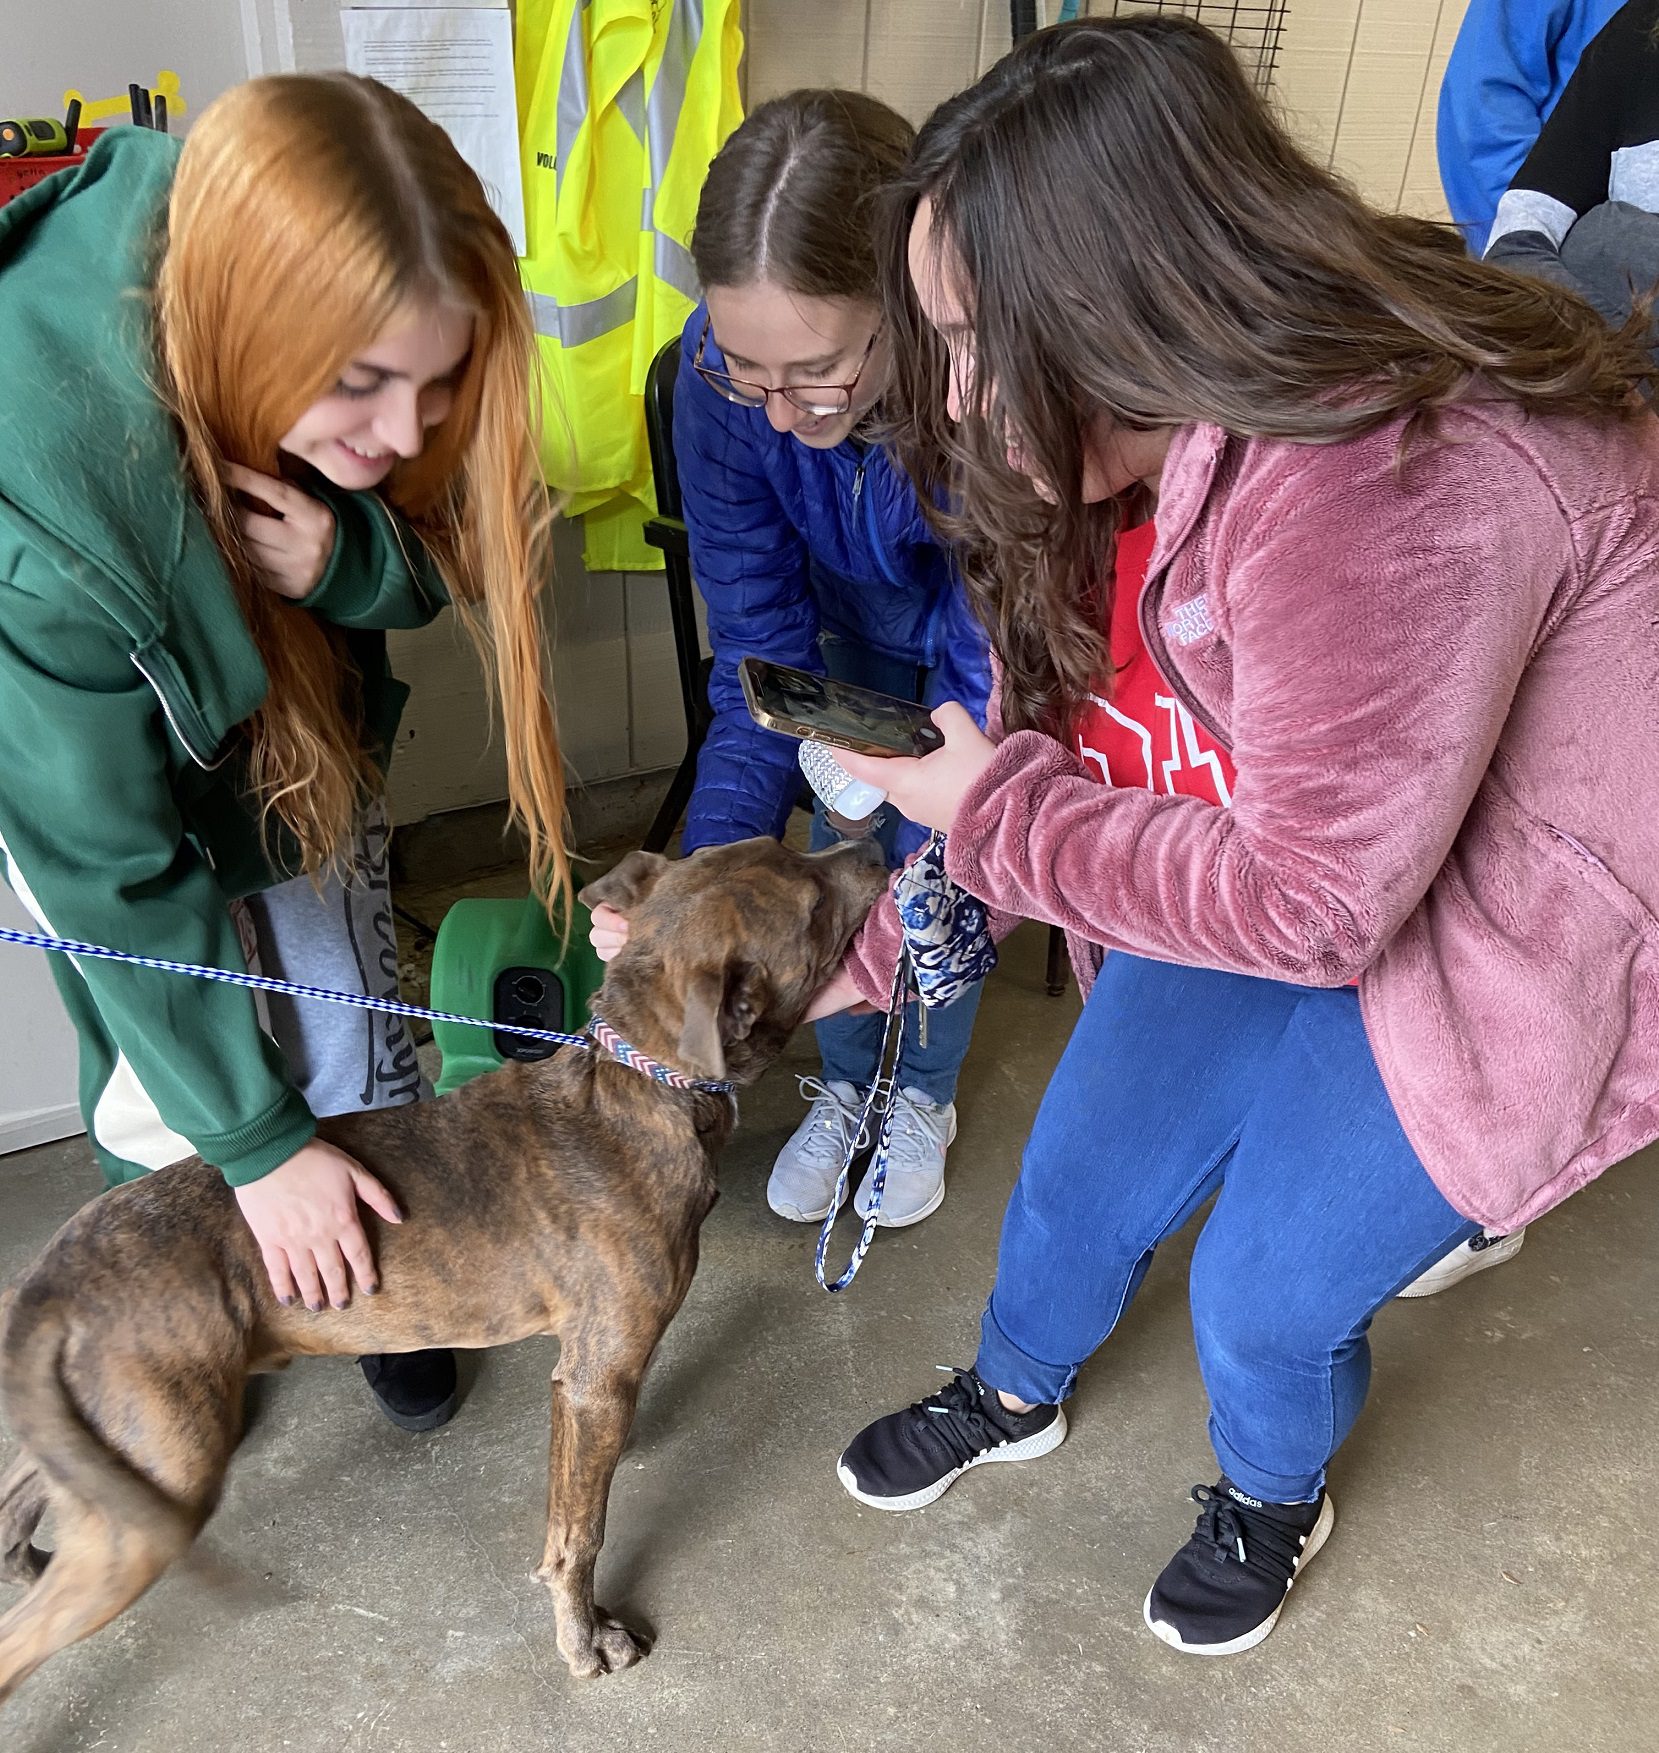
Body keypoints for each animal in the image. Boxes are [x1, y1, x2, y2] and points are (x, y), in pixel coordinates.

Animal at [0, 830, 890, 1696]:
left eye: (787, 844)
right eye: (812, 907)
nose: (880, 844)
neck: (636, 1083)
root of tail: (56, 1275)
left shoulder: (580, 1380)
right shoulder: (600, 1377)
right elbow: (580, 1533)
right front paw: (584, 1639)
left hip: (101, 1444)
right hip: (164, 1475)